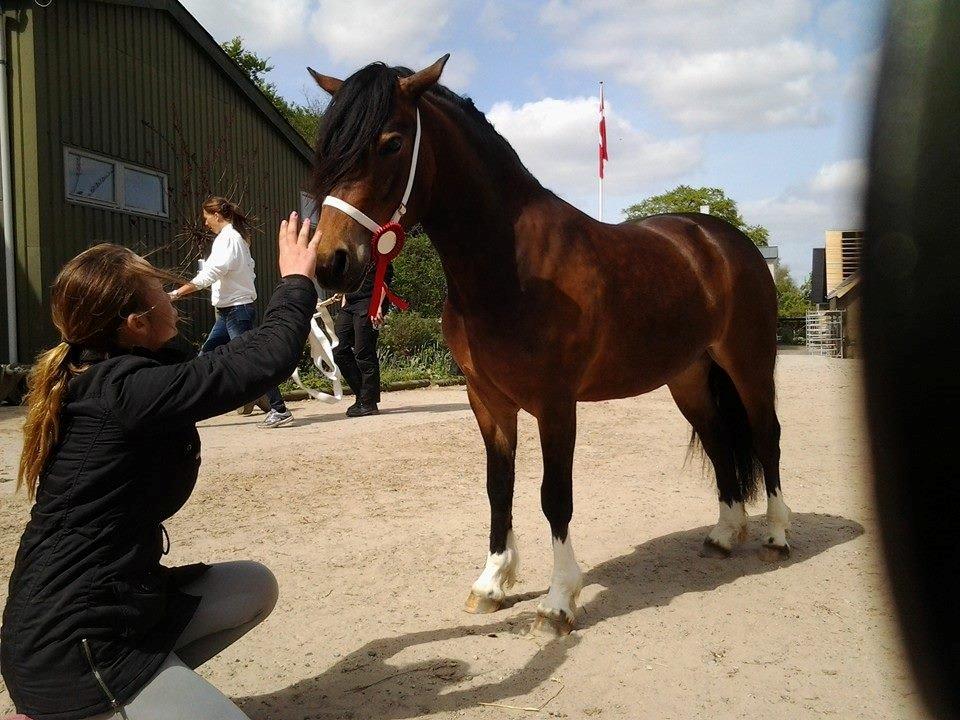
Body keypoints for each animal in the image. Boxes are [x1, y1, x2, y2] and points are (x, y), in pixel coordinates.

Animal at [306, 56, 788, 632]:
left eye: (391, 143)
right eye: (328, 148)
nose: (331, 262)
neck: (511, 266)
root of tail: (727, 241)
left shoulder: (556, 404)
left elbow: (554, 497)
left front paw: (559, 600)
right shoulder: (487, 400)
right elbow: (499, 488)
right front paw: (492, 583)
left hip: (749, 365)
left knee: (766, 436)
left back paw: (776, 536)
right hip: (689, 378)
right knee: (718, 442)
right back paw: (724, 533)